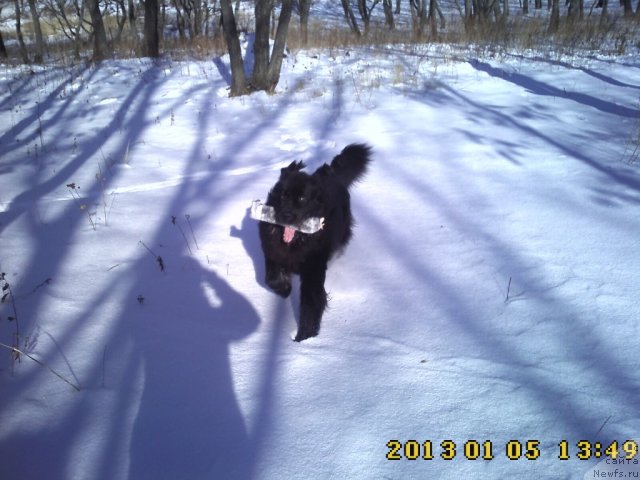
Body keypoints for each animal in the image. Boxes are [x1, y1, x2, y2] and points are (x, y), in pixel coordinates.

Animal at [258, 142, 372, 342]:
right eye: (283, 196)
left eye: (302, 198)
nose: (286, 215)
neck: (296, 242)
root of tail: (332, 174)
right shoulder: (272, 252)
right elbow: (271, 279)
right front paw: (285, 289)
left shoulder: (313, 269)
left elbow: (311, 302)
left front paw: (305, 338)